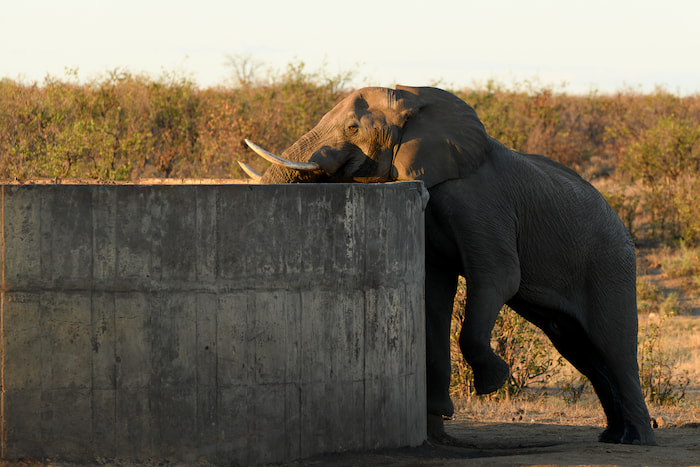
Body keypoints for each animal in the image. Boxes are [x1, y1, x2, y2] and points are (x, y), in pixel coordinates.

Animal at [242, 85, 656, 446]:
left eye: (353, 128)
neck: (417, 101)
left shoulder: (480, 201)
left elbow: (499, 279)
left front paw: (493, 383)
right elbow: (435, 293)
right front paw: (439, 412)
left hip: (610, 264)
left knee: (613, 345)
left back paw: (638, 440)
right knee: (579, 348)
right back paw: (612, 436)